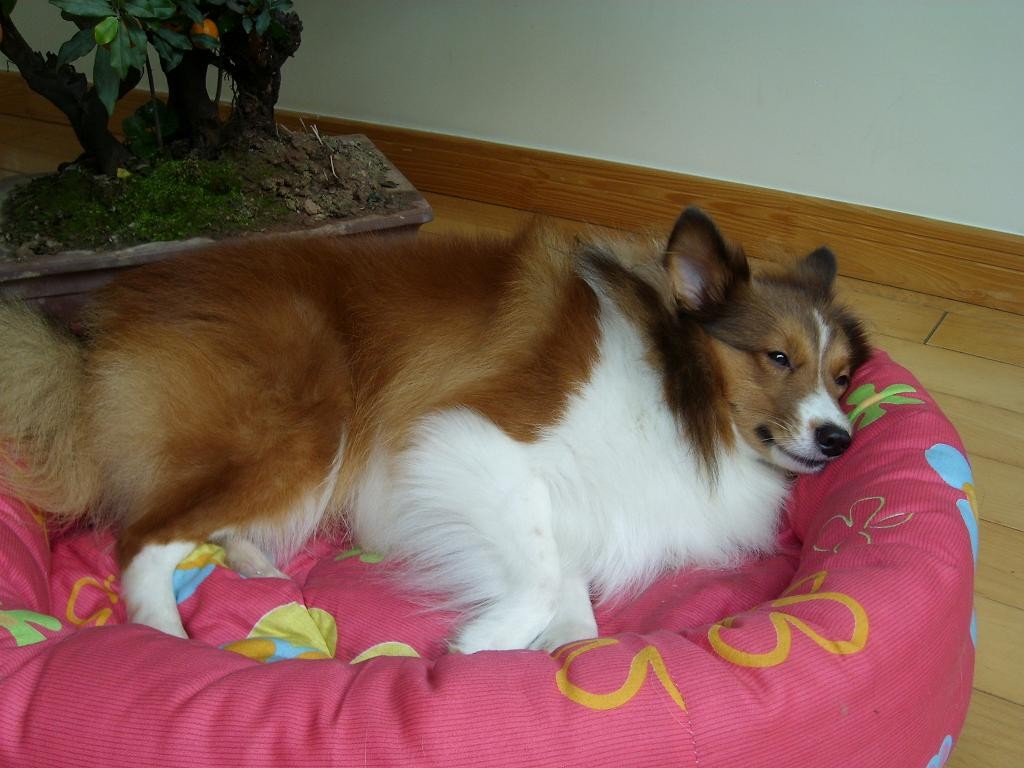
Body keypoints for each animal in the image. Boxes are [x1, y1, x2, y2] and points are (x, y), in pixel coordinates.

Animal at [0, 208, 868, 652]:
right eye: (778, 356)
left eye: (842, 374)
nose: (840, 442)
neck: (673, 386)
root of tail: (99, 333)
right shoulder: (473, 445)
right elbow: (539, 580)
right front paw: (474, 651)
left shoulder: (576, 505)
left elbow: (572, 602)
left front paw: (564, 655)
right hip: (309, 426)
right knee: (142, 538)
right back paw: (165, 638)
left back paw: (252, 559)